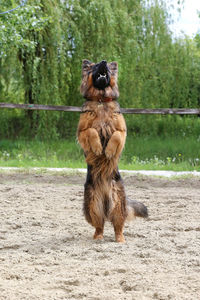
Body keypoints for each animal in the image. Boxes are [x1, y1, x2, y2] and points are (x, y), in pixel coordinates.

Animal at [77, 59, 148, 243]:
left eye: (108, 67)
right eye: (95, 66)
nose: (103, 62)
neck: (102, 99)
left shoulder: (122, 131)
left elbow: (115, 135)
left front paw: (108, 152)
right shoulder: (81, 132)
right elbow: (92, 131)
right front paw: (97, 147)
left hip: (117, 205)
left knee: (118, 226)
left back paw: (120, 239)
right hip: (93, 205)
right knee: (99, 225)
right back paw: (98, 237)